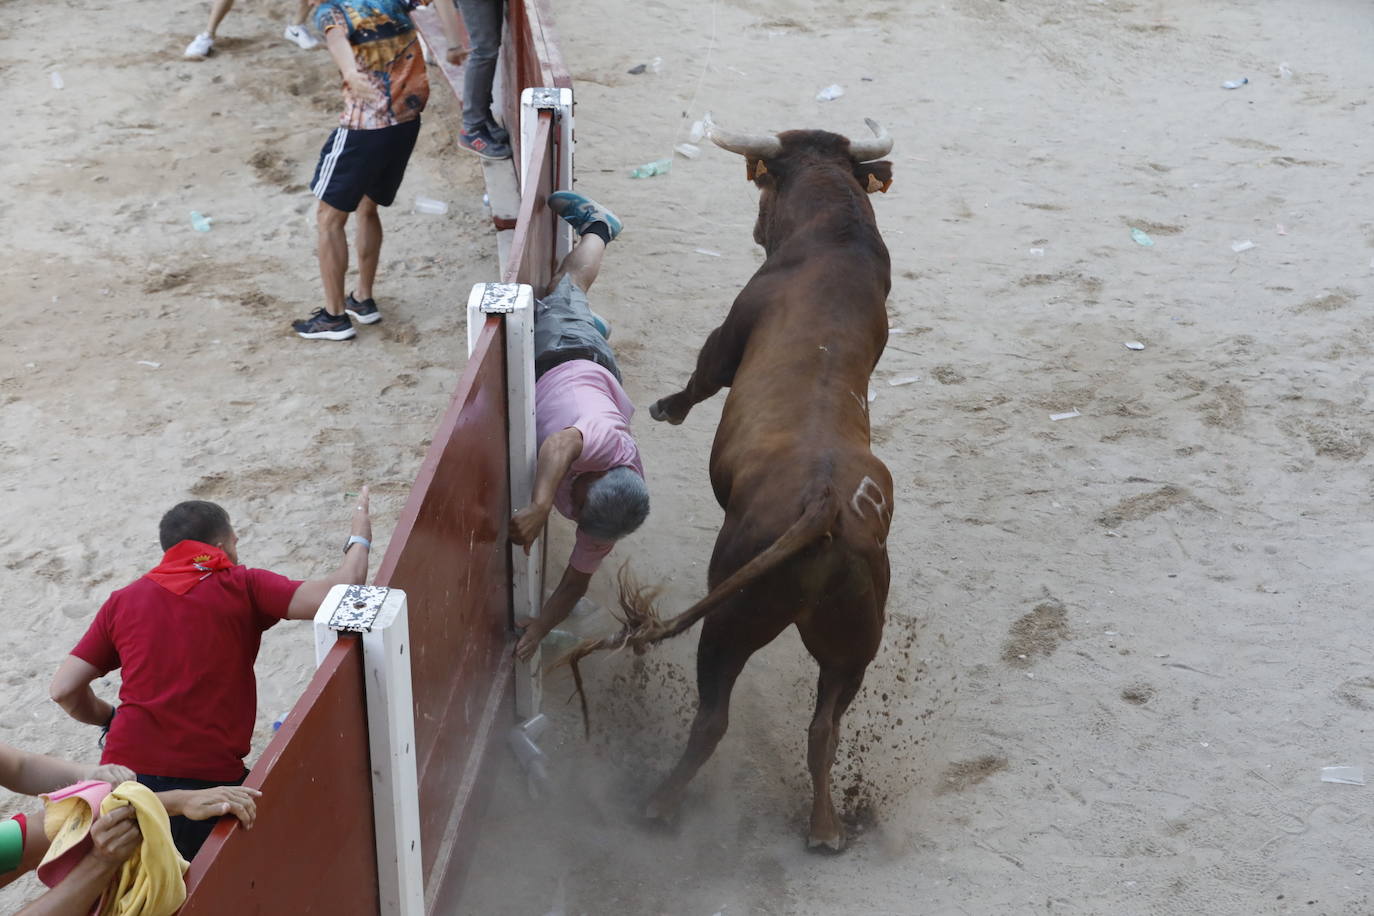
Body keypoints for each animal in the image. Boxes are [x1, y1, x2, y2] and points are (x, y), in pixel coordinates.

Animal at [563, 118, 895, 851]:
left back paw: (660, 804)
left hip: (730, 622)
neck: (836, 236)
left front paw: (666, 408)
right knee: (825, 726)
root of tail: (826, 506)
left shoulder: (735, 322)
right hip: (854, 646)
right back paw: (825, 827)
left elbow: (706, 372)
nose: (754, 225)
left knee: (713, 717)